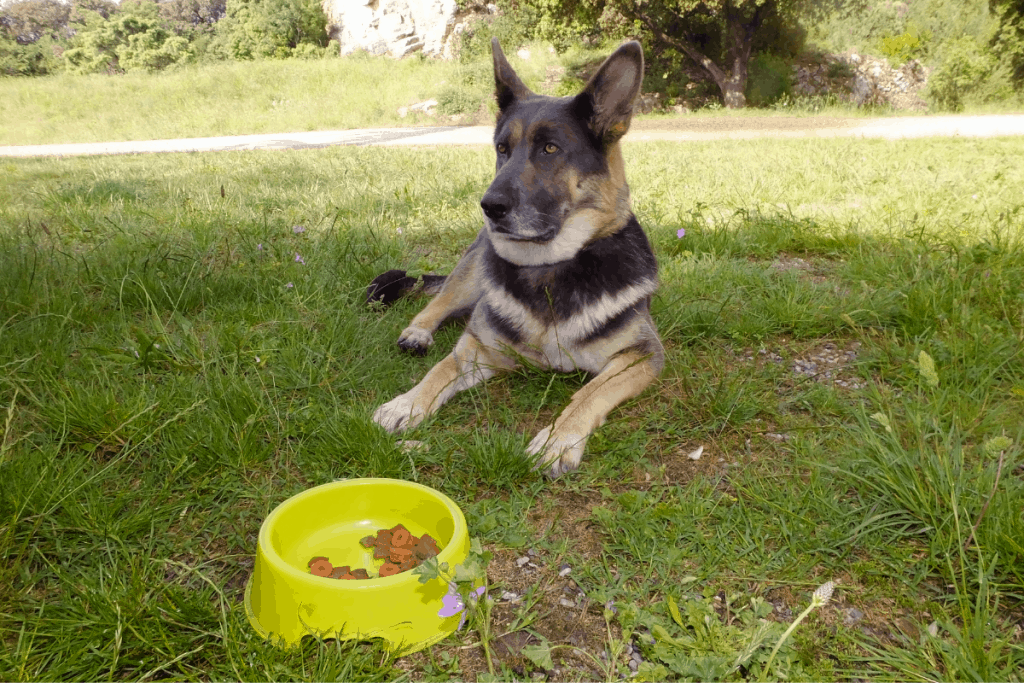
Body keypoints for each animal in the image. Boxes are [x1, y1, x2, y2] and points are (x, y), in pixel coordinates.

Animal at [368, 37, 663, 475]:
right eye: (502, 150)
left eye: (550, 148)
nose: (489, 207)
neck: (549, 271)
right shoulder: (477, 347)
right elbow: (441, 369)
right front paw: (406, 403)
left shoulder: (641, 355)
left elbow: (590, 393)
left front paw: (558, 440)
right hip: (473, 269)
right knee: (440, 301)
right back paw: (417, 332)